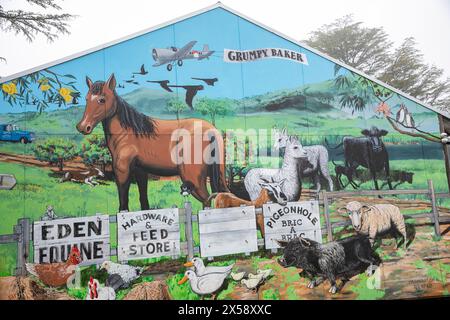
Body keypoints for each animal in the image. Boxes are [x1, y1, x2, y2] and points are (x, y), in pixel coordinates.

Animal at [76, 74, 229, 211]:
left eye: (102, 100)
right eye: (87, 99)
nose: (83, 127)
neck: (130, 132)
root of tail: (210, 130)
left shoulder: (122, 170)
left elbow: (123, 203)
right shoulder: (141, 172)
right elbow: (144, 201)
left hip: (193, 181)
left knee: (207, 200)